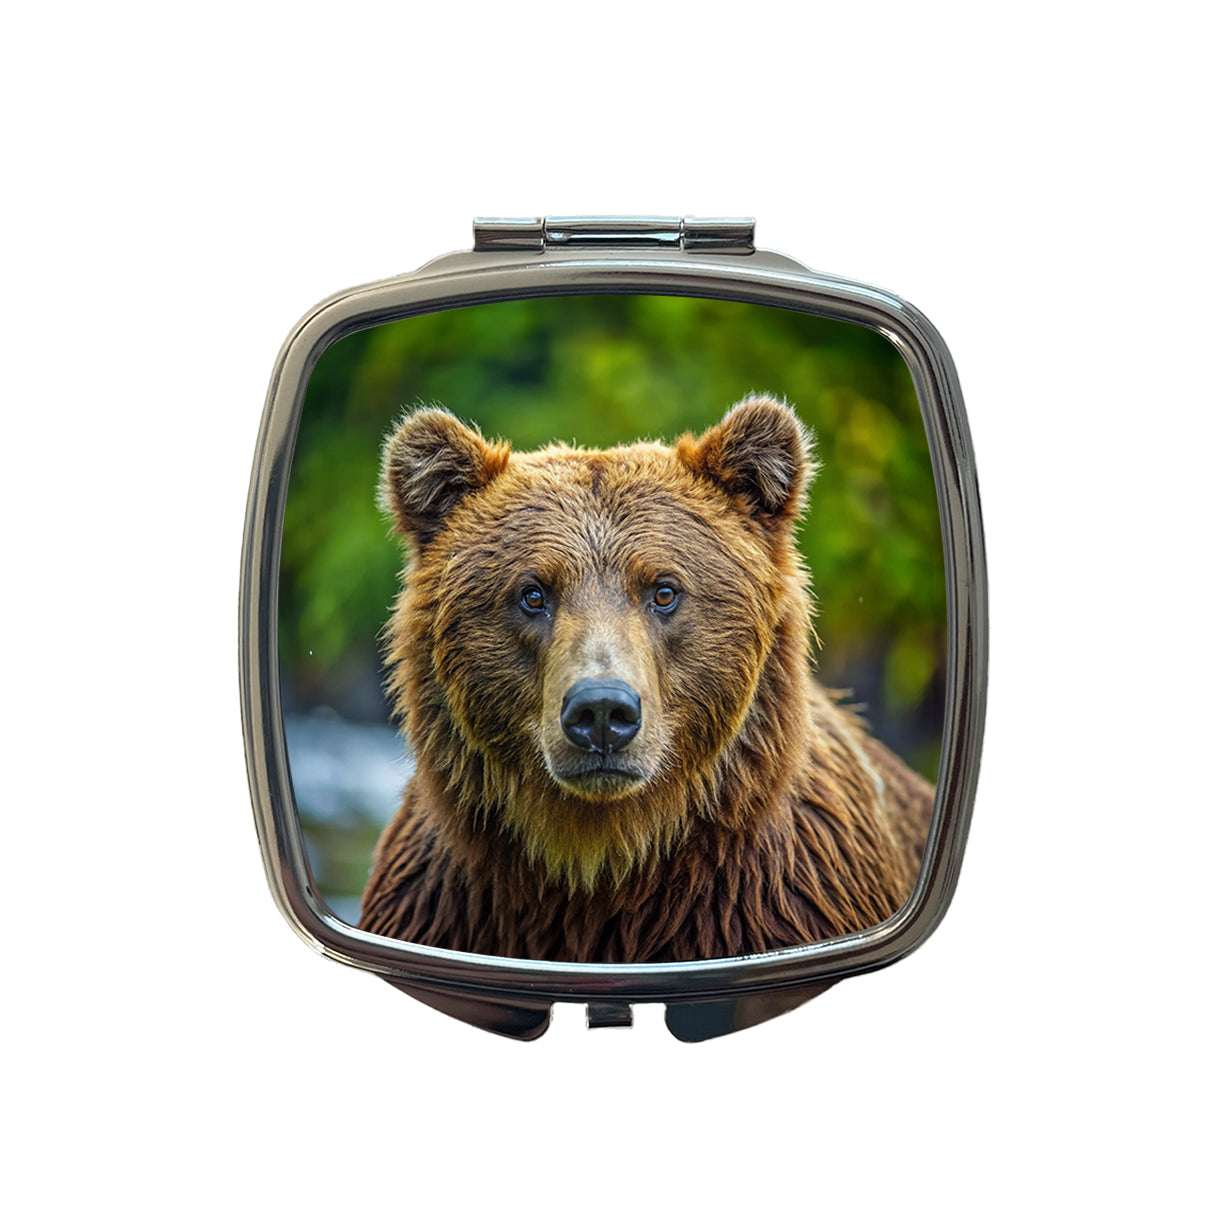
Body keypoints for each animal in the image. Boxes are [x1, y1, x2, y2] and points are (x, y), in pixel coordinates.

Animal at [358, 395, 935, 962]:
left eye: (664, 590)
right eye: (533, 593)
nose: (601, 711)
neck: (607, 855)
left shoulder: (777, 897)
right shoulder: (444, 902)